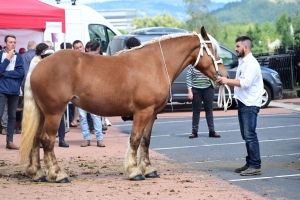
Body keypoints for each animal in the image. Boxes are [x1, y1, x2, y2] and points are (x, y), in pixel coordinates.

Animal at [19, 27, 227, 183]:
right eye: (213, 50)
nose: (224, 75)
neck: (155, 64)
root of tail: (39, 64)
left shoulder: (152, 114)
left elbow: (145, 140)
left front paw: (148, 169)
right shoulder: (142, 112)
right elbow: (135, 139)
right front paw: (135, 171)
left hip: (43, 113)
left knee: (36, 139)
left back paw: (38, 173)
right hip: (55, 112)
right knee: (47, 140)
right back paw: (58, 174)